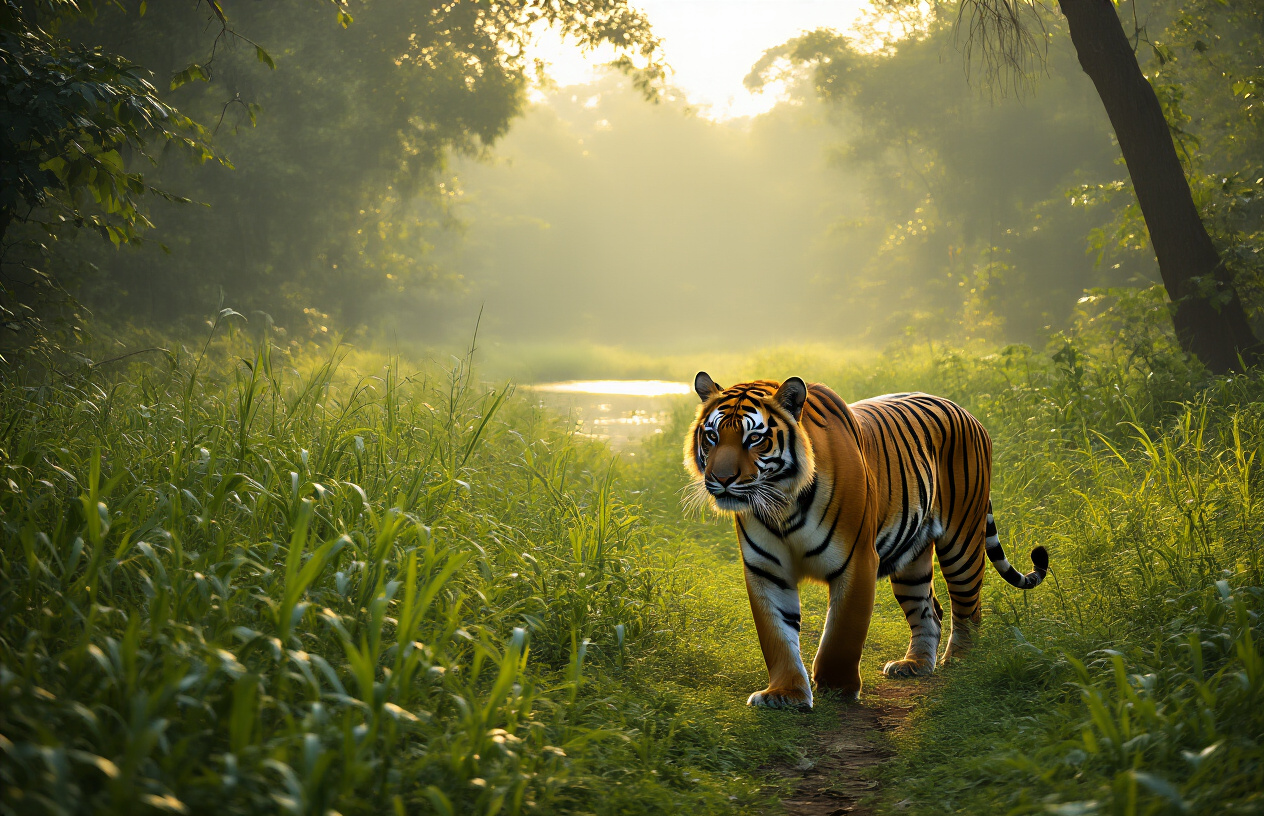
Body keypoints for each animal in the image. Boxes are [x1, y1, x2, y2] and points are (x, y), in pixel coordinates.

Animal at [684, 372, 1048, 708]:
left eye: (755, 438)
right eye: (712, 436)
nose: (721, 479)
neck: (781, 506)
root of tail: (967, 413)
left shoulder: (856, 560)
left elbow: (842, 632)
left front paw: (836, 687)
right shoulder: (766, 570)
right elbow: (776, 634)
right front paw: (784, 694)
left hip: (962, 541)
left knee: (968, 608)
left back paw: (960, 661)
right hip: (912, 559)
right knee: (930, 610)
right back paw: (914, 664)